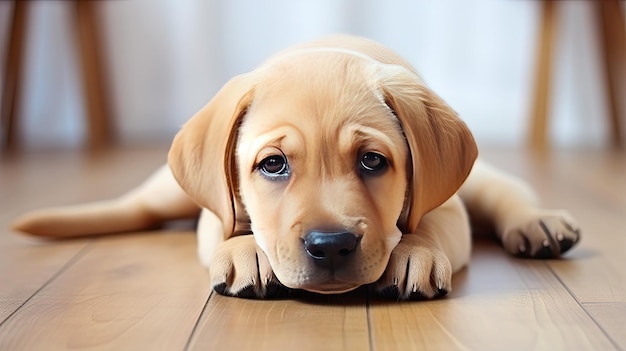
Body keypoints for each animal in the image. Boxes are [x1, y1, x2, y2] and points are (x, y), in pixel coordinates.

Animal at [13, 35, 580, 300]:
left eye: (373, 161)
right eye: (273, 165)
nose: (330, 246)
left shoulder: (447, 209)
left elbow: (429, 221)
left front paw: (412, 252)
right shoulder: (215, 212)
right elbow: (231, 224)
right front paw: (247, 251)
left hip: (482, 184)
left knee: (508, 195)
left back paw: (539, 224)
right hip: (163, 193)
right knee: (140, 207)